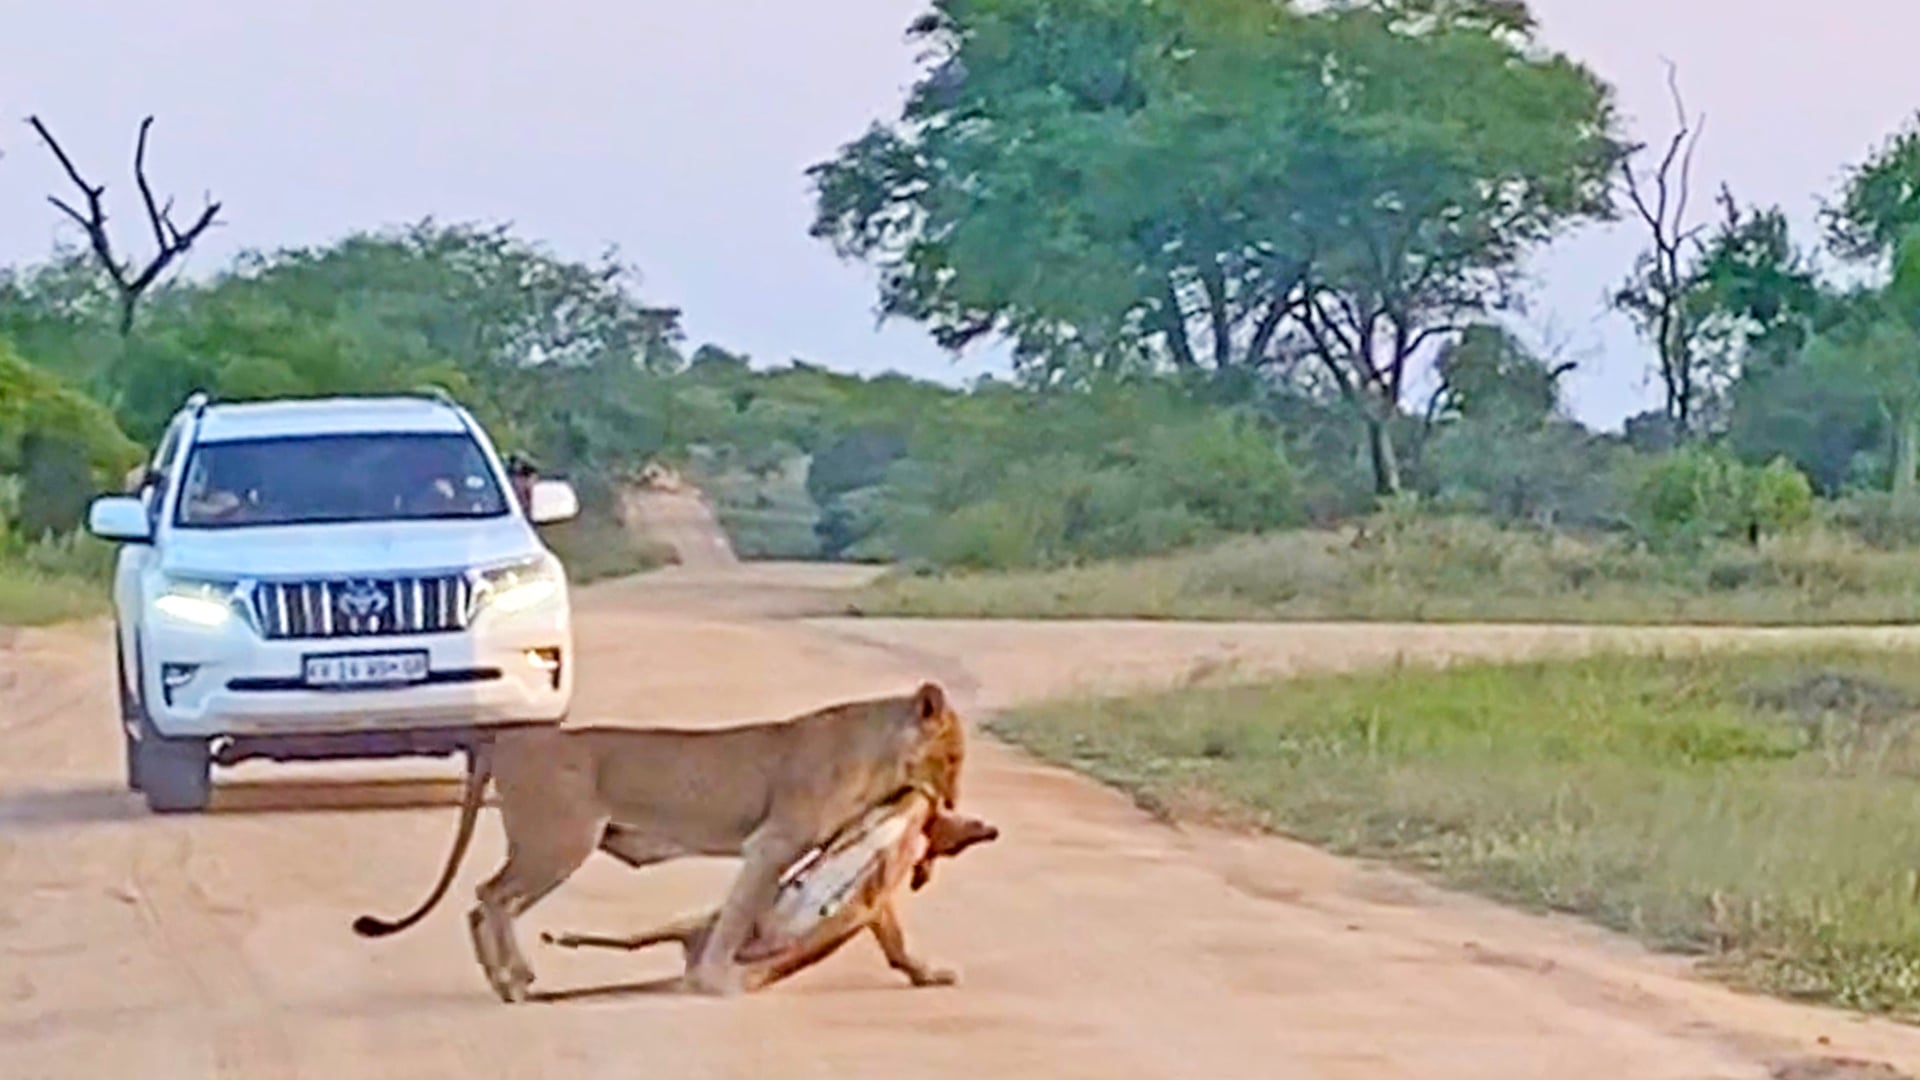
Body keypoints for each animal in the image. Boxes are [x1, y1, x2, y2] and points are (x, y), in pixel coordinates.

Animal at [543, 787, 999, 992]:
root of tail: (693, 962)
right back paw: (561, 939)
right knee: (629, 941)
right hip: (693, 922)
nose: (990, 828)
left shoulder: (877, 900)